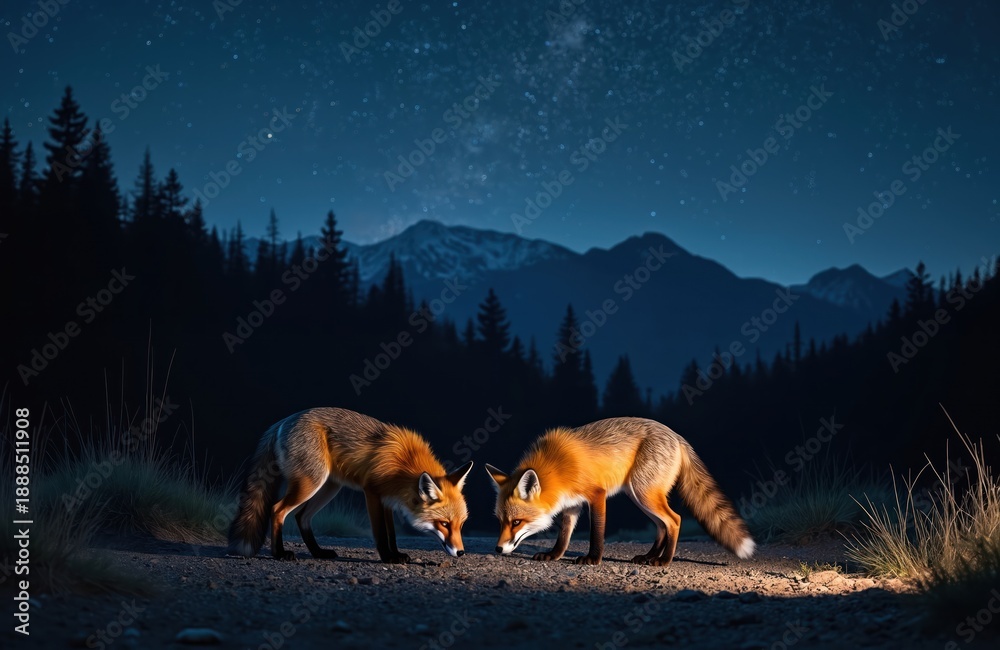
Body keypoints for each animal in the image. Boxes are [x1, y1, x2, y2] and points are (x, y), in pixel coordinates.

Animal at [227, 407, 473, 563]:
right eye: (443, 524)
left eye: (461, 525)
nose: (461, 553)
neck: (405, 462)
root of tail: (284, 420)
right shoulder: (372, 493)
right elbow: (380, 533)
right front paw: (388, 558)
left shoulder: (387, 500)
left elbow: (392, 534)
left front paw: (396, 554)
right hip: (311, 483)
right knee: (277, 509)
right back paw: (279, 553)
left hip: (328, 488)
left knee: (301, 516)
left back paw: (318, 552)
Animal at [486, 417, 755, 567]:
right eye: (500, 521)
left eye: (517, 521)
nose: (497, 549)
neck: (557, 469)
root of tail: (677, 436)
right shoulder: (571, 504)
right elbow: (563, 536)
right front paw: (554, 555)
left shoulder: (596, 495)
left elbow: (596, 532)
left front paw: (593, 559)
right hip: (640, 496)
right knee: (662, 526)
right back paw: (648, 556)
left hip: (644, 492)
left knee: (674, 520)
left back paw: (663, 560)